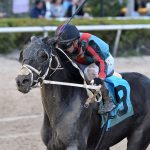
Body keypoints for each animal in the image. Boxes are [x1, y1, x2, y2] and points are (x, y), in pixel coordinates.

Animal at [15, 36, 150, 150]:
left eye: (44, 56)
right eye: (22, 53)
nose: (22, 80)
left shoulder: (75, 145)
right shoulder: (51, 146)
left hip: (138, 137)